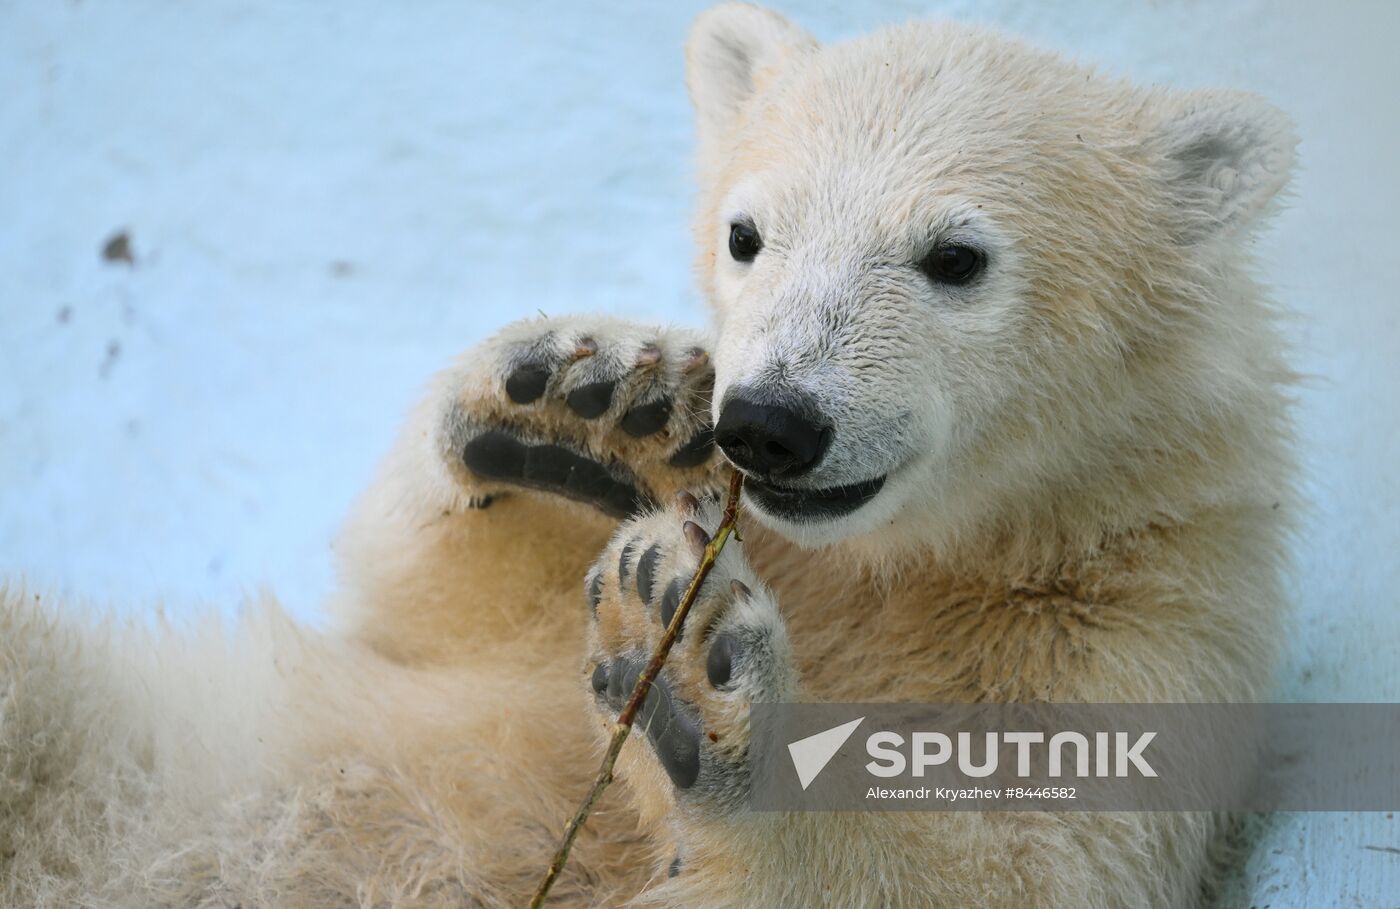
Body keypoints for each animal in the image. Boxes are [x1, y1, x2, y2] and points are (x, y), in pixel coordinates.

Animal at [0, 3, 1293, 901]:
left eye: (955, 257)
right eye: (746, 233)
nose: (769, 420)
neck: (923, 568)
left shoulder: (1136, 632)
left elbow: (994, 869)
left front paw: (688, 670)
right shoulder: (488, 660)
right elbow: (433, 611)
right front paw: (589, 396)